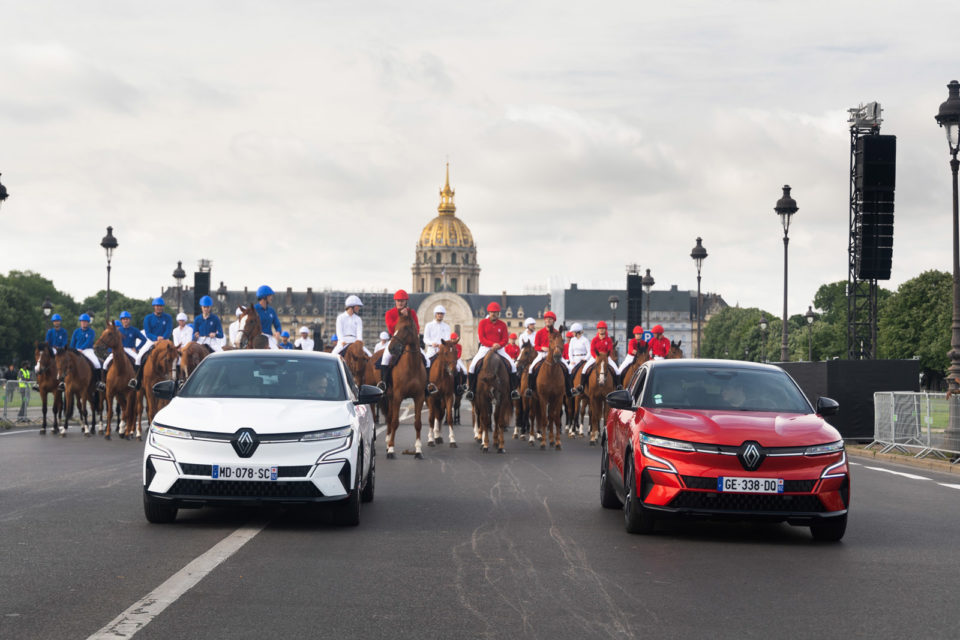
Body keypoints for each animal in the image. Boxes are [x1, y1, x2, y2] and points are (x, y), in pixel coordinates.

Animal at [384, 312, 426, 458]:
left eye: (406, 328)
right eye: (396, 327)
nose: (391, 348)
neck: (412, 366)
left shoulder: (419, 397)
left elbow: (418, 423)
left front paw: (418, 450)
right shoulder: (398, 396)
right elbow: (395, 422)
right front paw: (391, 449)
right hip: (390, 397)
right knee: (390, 418)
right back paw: (387, 443)